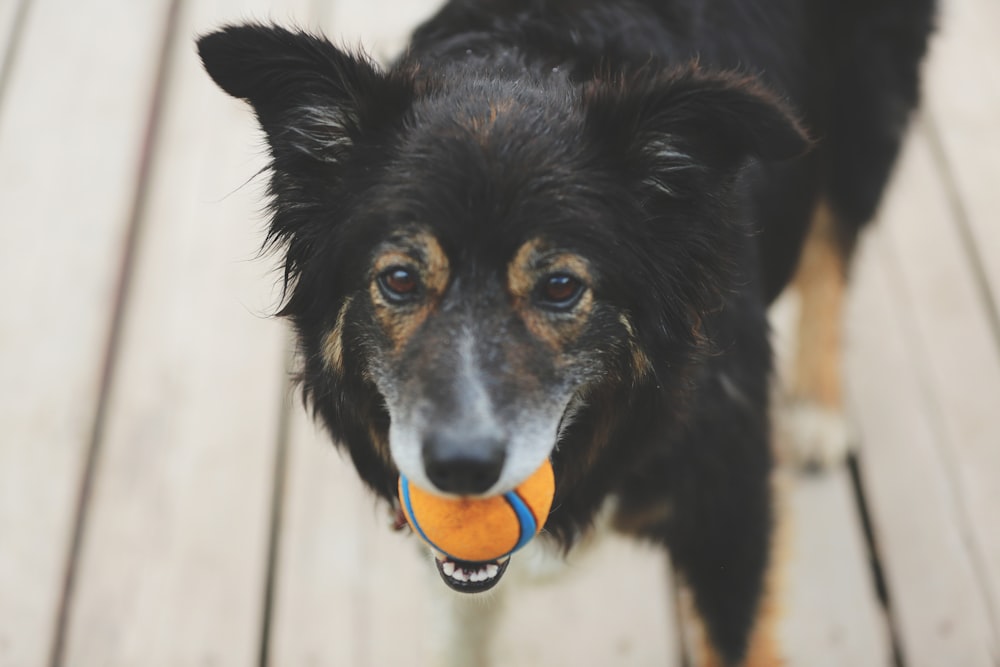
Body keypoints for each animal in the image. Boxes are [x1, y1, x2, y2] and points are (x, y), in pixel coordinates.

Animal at [197, 1, 936, 664]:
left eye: (559, 287)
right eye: (400, 279)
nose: (460, 468)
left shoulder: (731, 513)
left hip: (865, 111)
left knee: (833, 245)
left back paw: (817, 406)